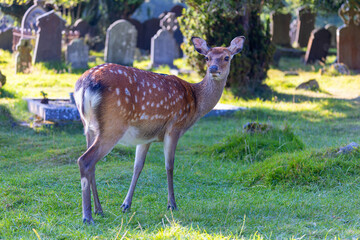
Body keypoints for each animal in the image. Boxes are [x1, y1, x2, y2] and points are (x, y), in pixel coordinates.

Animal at [74, 35, 246, 223]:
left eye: (226, 57)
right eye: (207, 58)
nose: (213, 69)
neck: (195, 101)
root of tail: (86, 84)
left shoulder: (146, 135)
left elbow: (138, 166)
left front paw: (126, 205)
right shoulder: (175, 126)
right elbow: (169, 166)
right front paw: (172, 204)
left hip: (89, 127)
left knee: (92, 165)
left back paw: (99, 209)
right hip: (113, 125)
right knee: (85, 160)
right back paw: (87, 216)